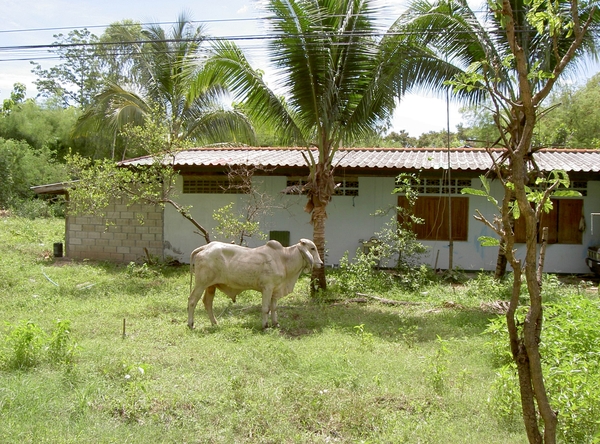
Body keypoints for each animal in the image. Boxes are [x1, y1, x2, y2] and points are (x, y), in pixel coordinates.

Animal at [188, 239, 324, 330]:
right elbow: (265, 308)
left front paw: (276, 323)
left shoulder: (275, 290)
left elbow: (274, 308)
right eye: (312, 248)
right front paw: (265, 326)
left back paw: (215, 323)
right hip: (201, 284)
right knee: (192, 300)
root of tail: (205, 247)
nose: (321, 263)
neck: (284, 259)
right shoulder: (267, 288)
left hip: (211, 286)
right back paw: (191, 324)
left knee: (207, 302)